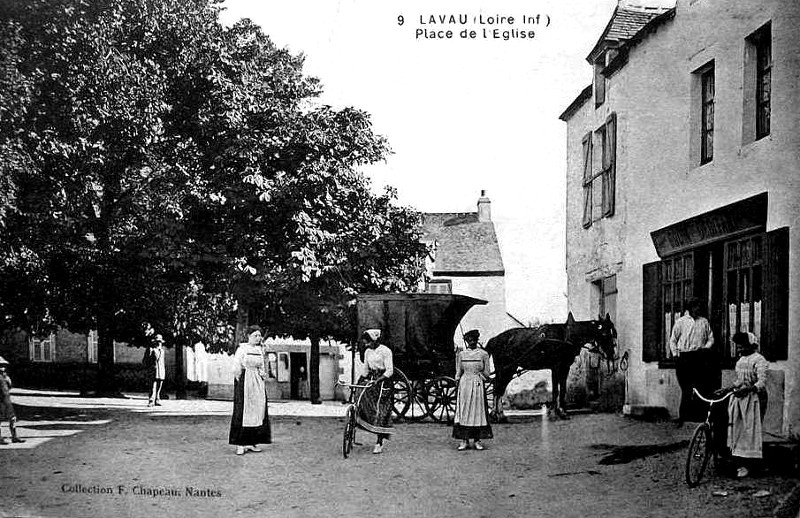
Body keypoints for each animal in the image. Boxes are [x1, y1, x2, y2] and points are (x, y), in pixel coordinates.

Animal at [482, 312, 620, 422]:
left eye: (614, 333)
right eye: (605, 333)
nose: (613, 354)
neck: (567, 335)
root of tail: (495, 339)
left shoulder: (563, 367)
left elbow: (561, 389)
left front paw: (560, 411)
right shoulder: (557, 367)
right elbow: (557, 390)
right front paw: (556, 413)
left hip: (509, 369)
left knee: (498, 388)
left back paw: (499, 415)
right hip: (506, 369)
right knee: (497, 388)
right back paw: (496, 415)